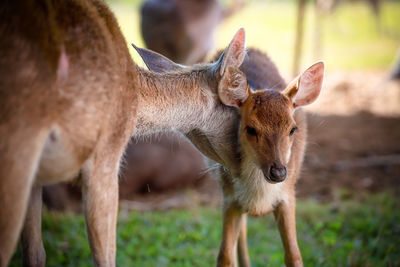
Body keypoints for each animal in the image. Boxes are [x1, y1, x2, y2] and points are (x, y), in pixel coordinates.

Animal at [141, 45, 324, 266]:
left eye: (292, 129)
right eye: (250, 129)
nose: (279, 172)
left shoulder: (288, 195)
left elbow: (294, 256)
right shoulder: (230, 198)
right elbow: (225, 256)